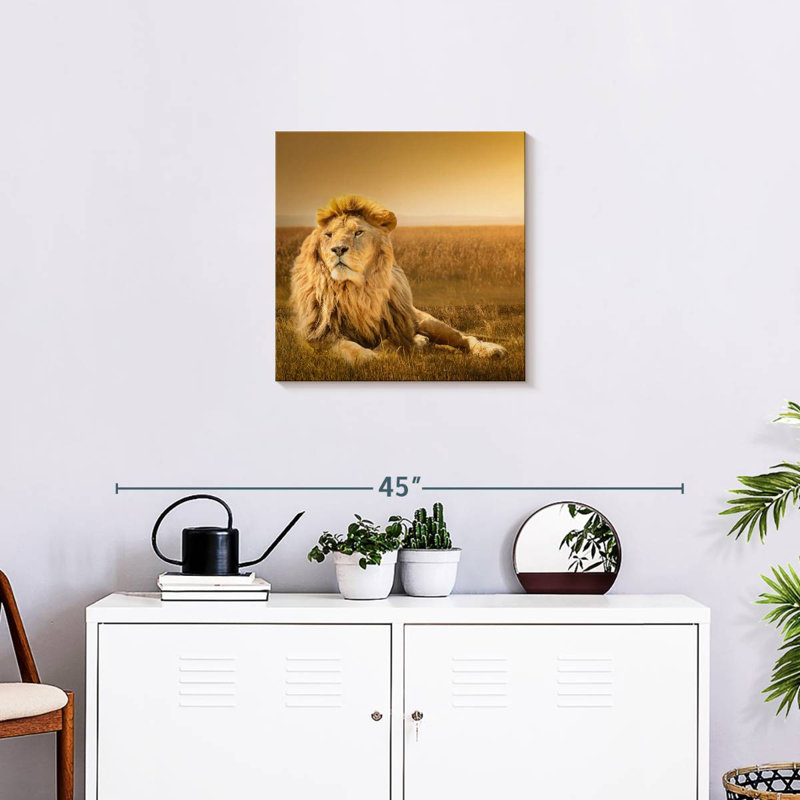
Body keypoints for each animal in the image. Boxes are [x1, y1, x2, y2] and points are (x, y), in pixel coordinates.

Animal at [289, 195, 508, 364]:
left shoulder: (397, 329)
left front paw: (394, 349)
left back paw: (491, 350)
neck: (355, 291)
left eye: (358, 232)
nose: (338, 249)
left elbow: (392, 343)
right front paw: (367, 357)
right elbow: (346, 346)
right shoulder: (319, 336)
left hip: (428, 322)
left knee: (464, 337)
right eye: (329, 235)